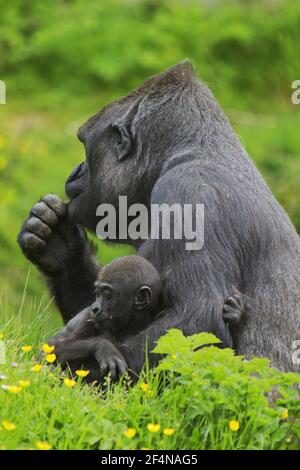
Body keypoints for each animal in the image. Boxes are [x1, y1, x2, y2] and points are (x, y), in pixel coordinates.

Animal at [18, 62, 300, 372]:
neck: (187, 153)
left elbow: (199, 319)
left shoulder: (186, 191)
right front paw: (60, 247)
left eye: (84, 146)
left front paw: (90, 359)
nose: (76, 170)